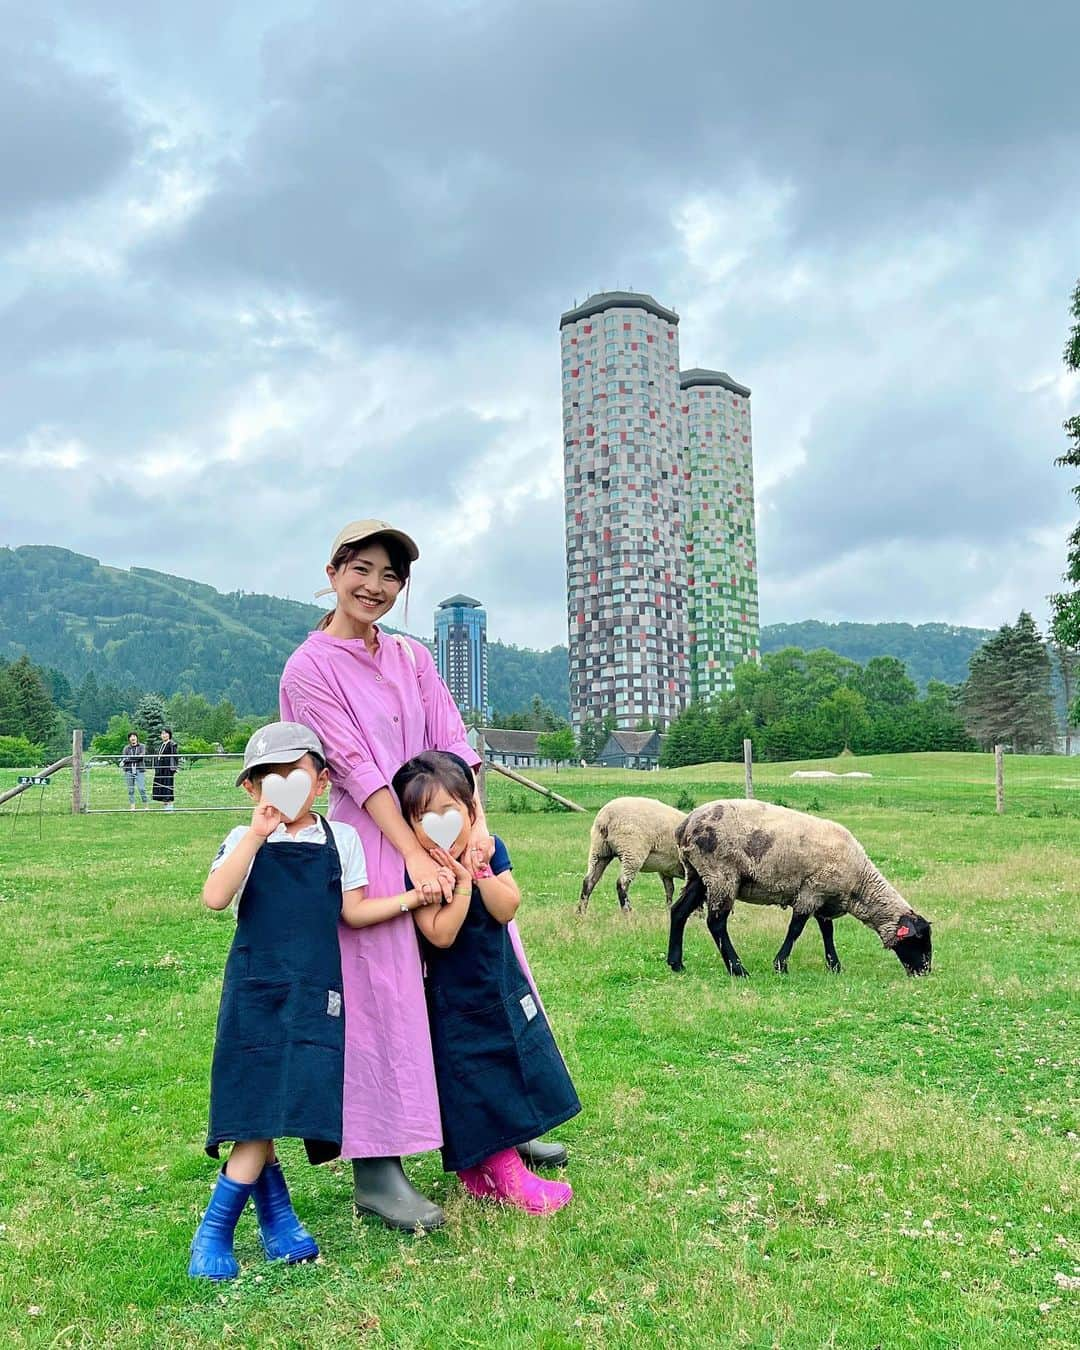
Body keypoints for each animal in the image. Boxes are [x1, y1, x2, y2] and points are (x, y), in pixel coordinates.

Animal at [661, 799, 934, 982]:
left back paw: (676, 963)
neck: (860, 884)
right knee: (716, 923)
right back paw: (738, 970)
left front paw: (834, 965)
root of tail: (684, 826)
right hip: (721, 874)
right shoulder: (810, 892)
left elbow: (827, 932)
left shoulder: (824, 898)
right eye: (919, 939)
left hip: (699, 874)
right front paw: (780, 965)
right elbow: (796, 929)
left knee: (679, 912)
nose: (924, 972)